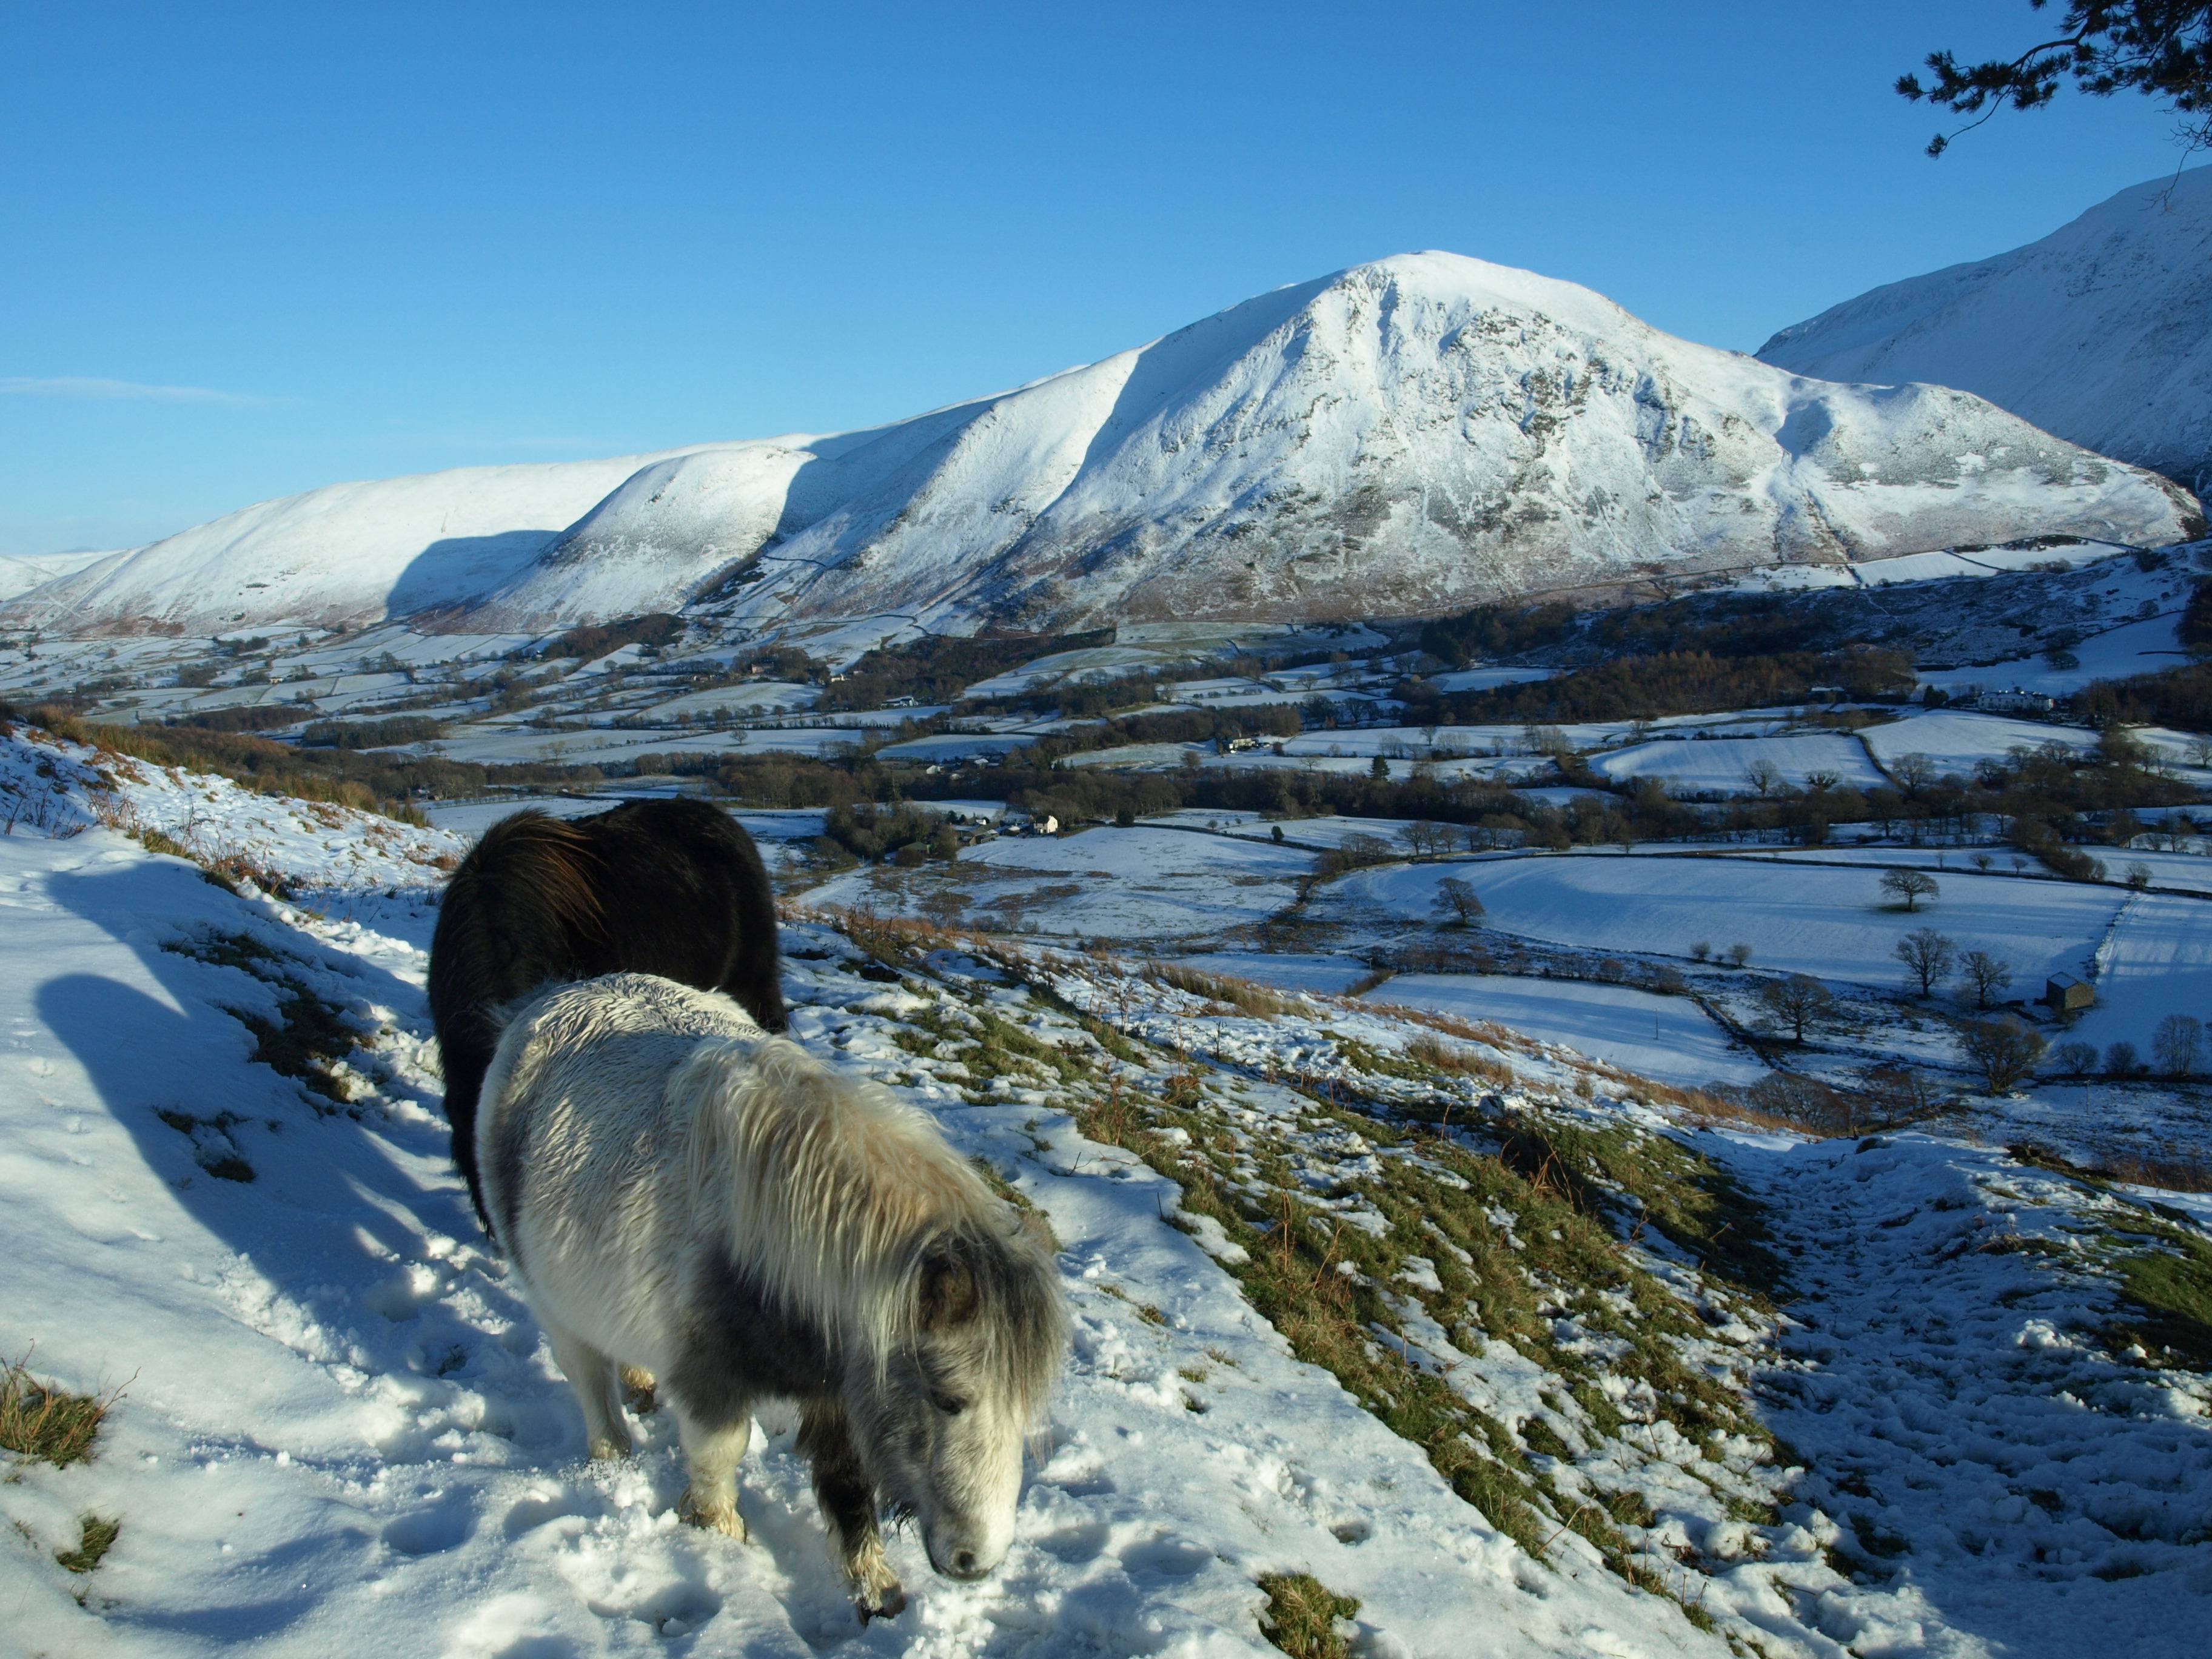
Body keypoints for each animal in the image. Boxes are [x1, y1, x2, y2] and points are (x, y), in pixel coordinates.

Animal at [475, 972, 1067, 1622]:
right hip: (550, 1300)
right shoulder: (710, 1380)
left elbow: (848, 1481)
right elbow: (719, 1457)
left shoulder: (842, 1388)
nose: (976, 1561)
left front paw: (876, 1591)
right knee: (587, 1377)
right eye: (948, 1399)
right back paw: (611, 1457)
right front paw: (720, 1539)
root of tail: (552, 996)